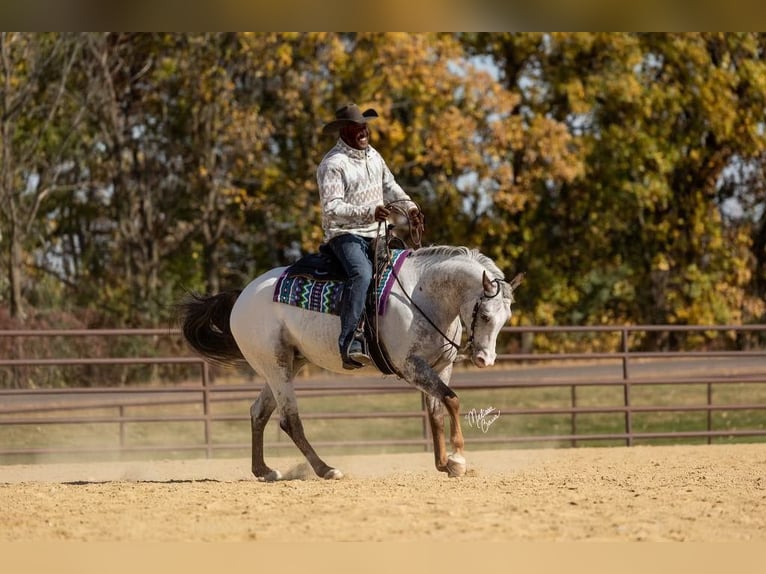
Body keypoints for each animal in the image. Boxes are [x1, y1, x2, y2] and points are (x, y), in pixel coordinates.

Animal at [182, 244, 520, 482]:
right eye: (485, 315)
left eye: (506, 317)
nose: (485, 359)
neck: (422, 296)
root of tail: (243, 296)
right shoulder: (412, 366)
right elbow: (452, 401)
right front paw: (459, 459)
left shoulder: (439, 366)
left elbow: (436, 411)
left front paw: (444, 463)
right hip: (276, 366)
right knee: (289, 420)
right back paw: (326, 470)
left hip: (286, 365)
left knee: (258, 413)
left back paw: (265, 471)